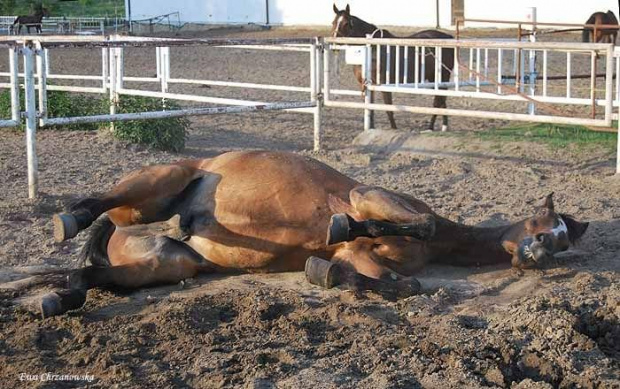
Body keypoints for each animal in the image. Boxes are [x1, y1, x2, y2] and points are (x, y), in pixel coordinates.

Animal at [40, 150, 592, 316]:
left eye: (565, 239)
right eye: (542, 224)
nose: (541, 253)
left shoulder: (362, 259)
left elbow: (404, 284)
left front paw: (320, 272)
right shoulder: (371, 196)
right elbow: (416, 224)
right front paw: (339, 225)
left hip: (170, 261)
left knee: (93, 274)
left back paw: (63, 297)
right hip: (160, 184)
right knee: (100, 206)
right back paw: (71, 220)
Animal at [330, 3, 456, 132]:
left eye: (346, 23)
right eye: (333, 22)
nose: (333, 44)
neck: (373, 49)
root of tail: (448, 37)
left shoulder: (384, 84)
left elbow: (388, 109)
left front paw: (394, 129)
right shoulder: (366, 85)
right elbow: (370, 109)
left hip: (441, 76)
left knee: (438, 101)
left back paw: (431, 128)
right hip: (433, 79)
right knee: (441, 100)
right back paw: (442, 127)